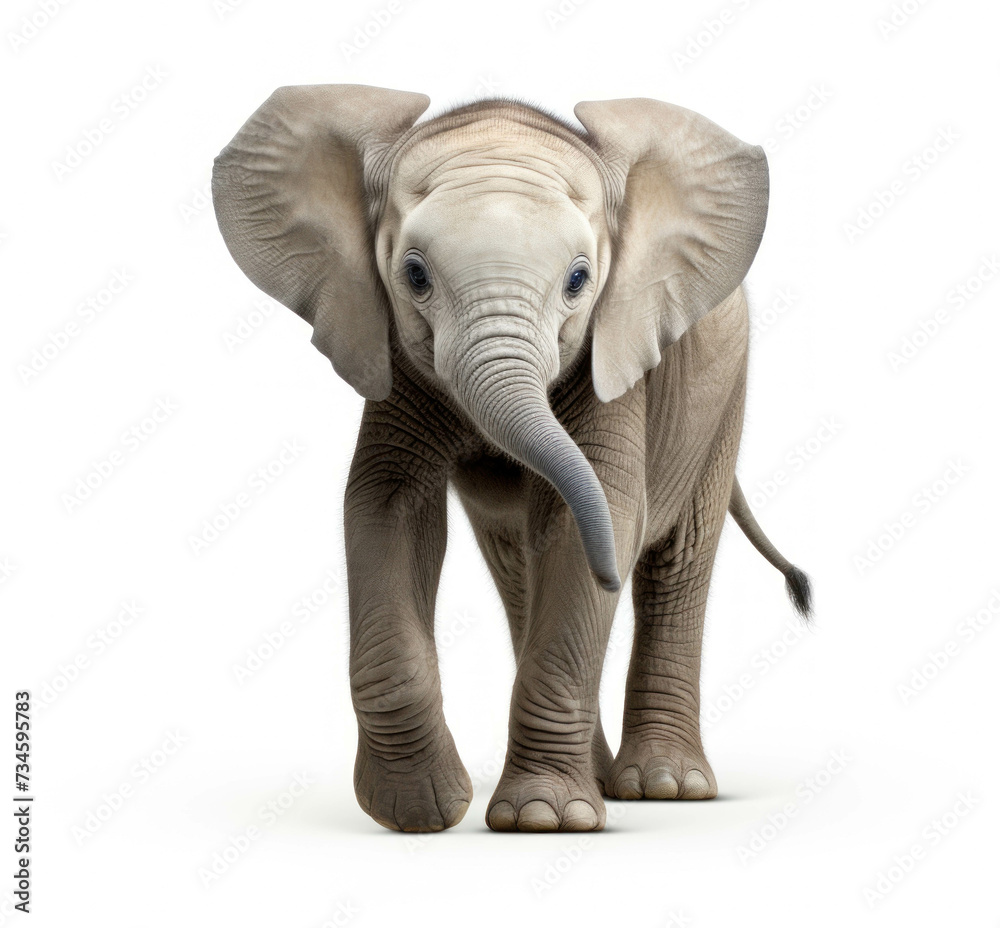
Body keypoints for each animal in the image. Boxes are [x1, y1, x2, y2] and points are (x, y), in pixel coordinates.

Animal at [212, 83, 811, 834]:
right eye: (413, 275)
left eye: (580, 280)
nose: (609, 572)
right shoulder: (390, 350)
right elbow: (385, 507)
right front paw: (420, 811)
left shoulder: (614, 354)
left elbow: (599, 509)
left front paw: (542, 820)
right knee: (517, 565)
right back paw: (605, 780)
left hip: (724, 390)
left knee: (676, 557)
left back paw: (665, 787)